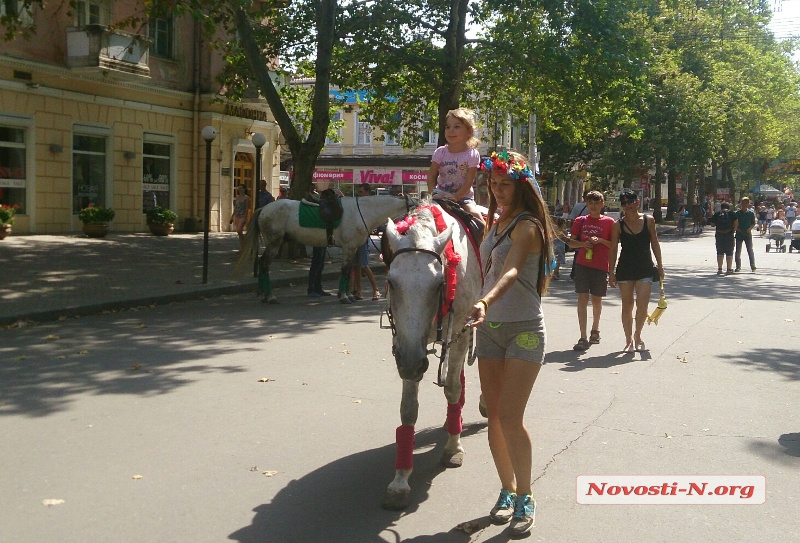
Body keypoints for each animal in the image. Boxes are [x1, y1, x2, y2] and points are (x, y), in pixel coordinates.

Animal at [236, 197, 412, 306]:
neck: (361, 212)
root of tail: (264, 209)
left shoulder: (353, 249)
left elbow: (348, 271)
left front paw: (347, 295)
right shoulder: (349, 248)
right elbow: (345, 271)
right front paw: (344, 296)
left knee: (262, 264)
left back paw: (263, 295)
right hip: (274, 243)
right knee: (264, 265)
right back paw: (270, 296)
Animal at [380, 204, 482, 510]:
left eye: (439, 284)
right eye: (391, 282)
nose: (413, 364)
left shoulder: (460, 329)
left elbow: (452, 388)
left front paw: (453, 448)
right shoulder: (406, 345)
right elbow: (408, 408)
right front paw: (400, 479)